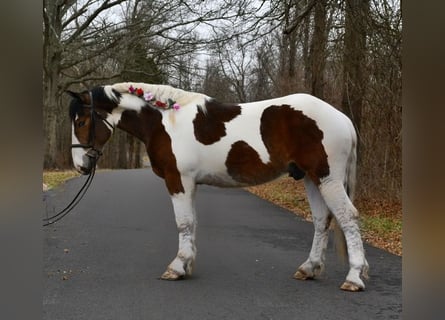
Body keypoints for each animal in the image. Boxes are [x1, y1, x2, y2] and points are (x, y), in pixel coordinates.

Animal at [67, 82, 370, 292]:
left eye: (81, 122)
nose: (80, 165)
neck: (165, 123)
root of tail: (342, 118)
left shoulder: (178, 180)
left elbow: (183, 223)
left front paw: (177, 267)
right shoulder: (190, 183)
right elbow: (191, 223)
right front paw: (187, 264)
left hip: (327, 178)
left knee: (348, 217)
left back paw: (354, 277)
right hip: (310, 178)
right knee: (321, 221)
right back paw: (309, 269)